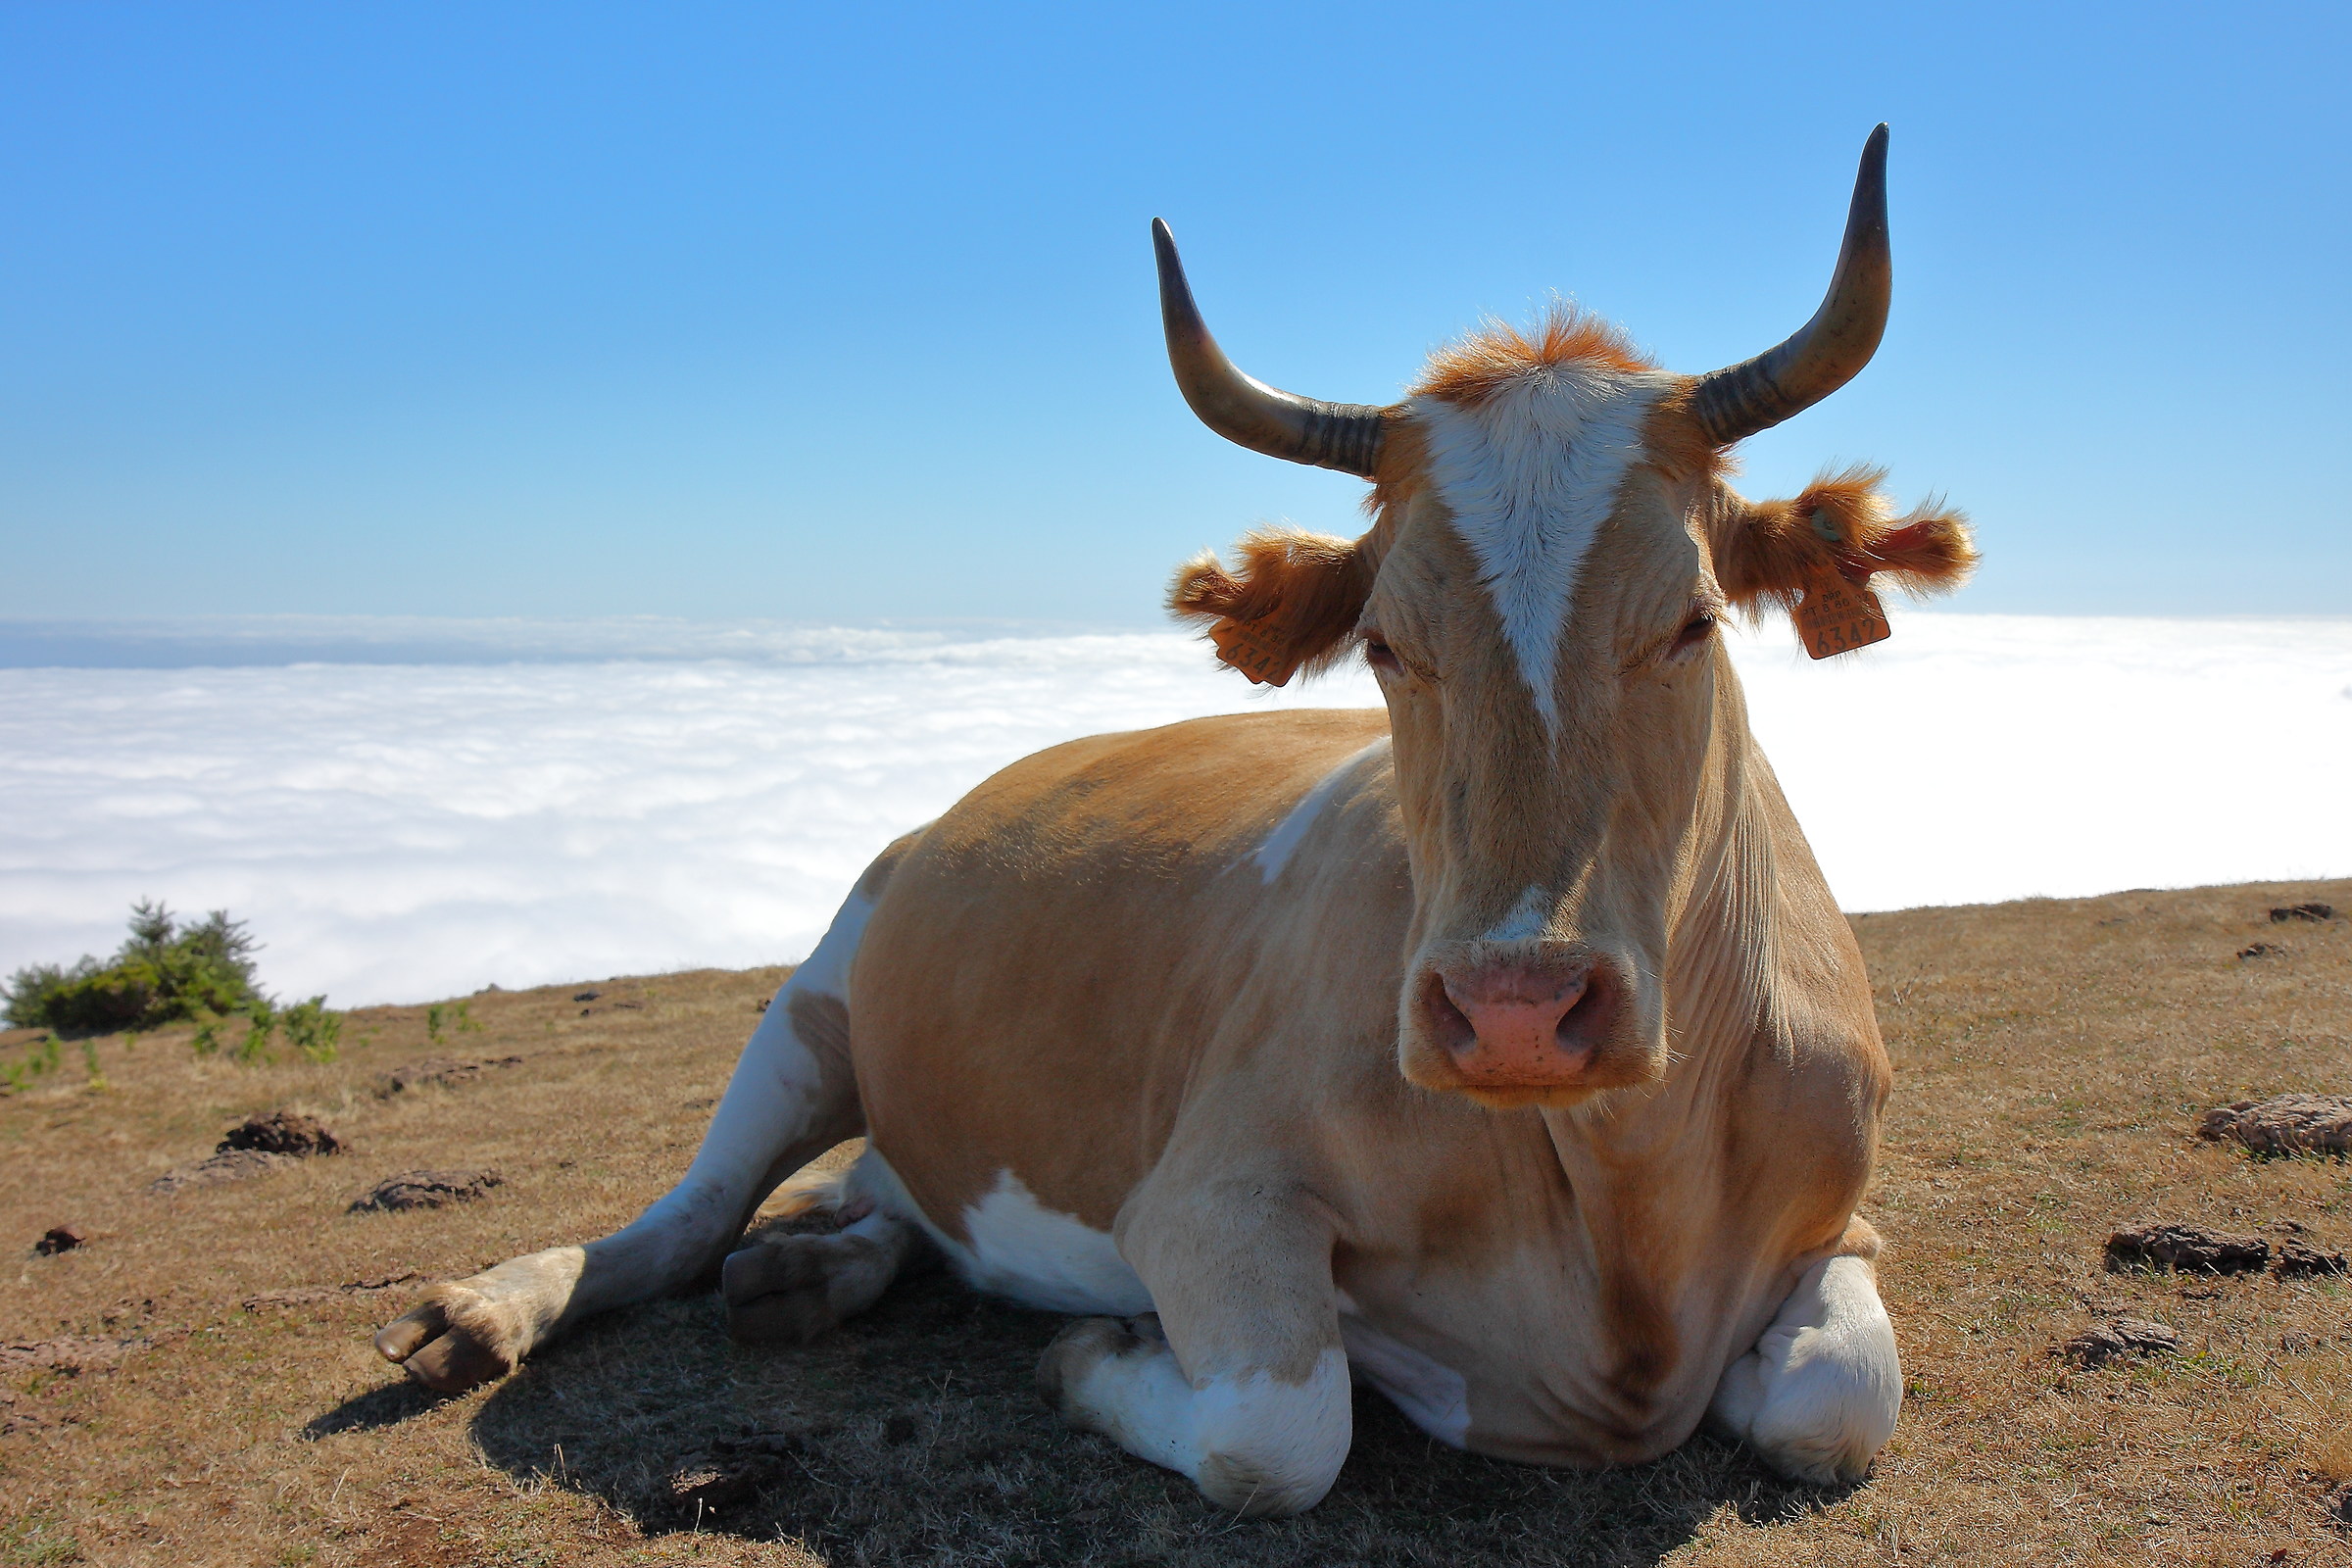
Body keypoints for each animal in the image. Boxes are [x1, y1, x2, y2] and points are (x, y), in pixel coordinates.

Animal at [374, 124, 1974, 1517]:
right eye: (1386, 643)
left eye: (1693, 619)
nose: (1517, 1011)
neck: (1616, 1223)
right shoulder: (1204, 1201)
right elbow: (1285, 1428)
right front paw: (1096, 1353)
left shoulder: (1844, 1218)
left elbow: (1837, 1399)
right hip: (811, 1001)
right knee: (693, 1215)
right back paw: (494, 1309)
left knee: (867, 1198)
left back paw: (812, 1273)